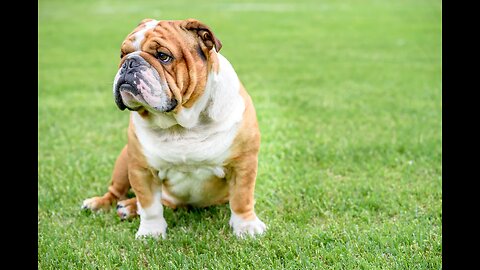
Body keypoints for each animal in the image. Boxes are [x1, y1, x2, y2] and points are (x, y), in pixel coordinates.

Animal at [82, 18, 266, 238]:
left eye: (163, 56)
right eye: (122, 54)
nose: (129, 63)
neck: (181, 124)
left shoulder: (243, 164)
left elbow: (241, 198)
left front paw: (247, 227)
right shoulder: (142, 169)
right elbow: (149, 206)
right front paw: (151, 233)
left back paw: (129, 206)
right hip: (124, 160)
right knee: (117, 192)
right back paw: (103, 204)